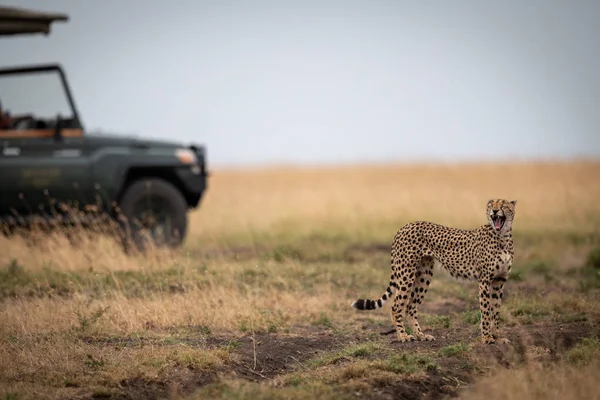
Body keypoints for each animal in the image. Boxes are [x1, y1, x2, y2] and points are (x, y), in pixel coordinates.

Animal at [352, 198, 516, 346]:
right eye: (491, 204)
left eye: (503, 205)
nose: (494, 211)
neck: (502, 236)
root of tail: (405, 226)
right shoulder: (484, 280)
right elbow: (486, 311)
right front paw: (487, 338)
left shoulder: (499, 280)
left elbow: (495, 310)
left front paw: (497, 336)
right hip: (406, 274)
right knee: (396, 306)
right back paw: (403, 336)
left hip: (424, 275)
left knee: (411, 307)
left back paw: (420, 335)